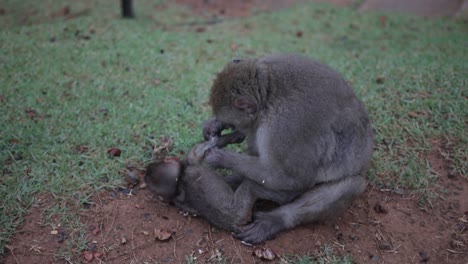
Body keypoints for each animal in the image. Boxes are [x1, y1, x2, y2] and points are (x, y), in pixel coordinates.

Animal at [201, 54, 372, 245]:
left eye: (234, 121)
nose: (230, 126)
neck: (268, 94)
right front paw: (214, 126)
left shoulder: (285, 127)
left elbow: (291, 177)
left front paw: (221, 158)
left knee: (350, 185)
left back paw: (276, 219)